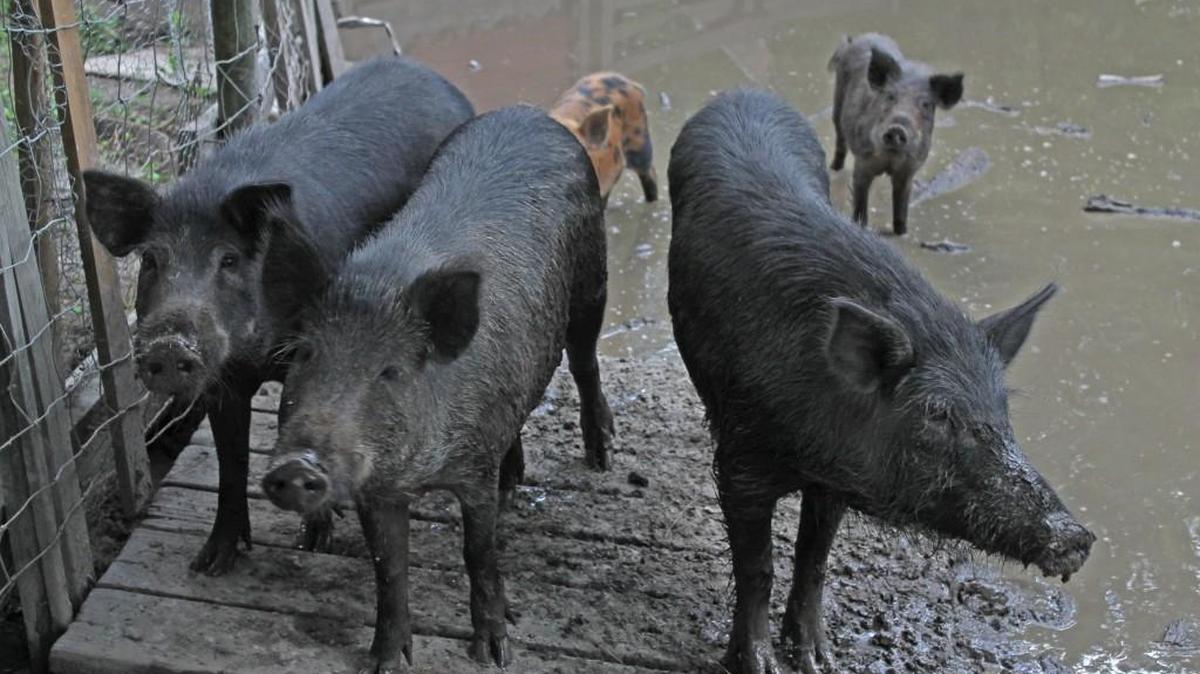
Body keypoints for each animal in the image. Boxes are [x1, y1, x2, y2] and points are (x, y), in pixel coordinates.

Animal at [82, 56, 474, 574]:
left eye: (229, 260)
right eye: (151, 260)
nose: (169, 345)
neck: (257, 354)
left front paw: (314, 540)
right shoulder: (223, 381)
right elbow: (231, 464)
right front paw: (210, 564)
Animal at [260, 105, 615, 672]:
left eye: (389, 371)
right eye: (305, 353)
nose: (298, 467)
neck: (418, 473)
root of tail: (529, 112)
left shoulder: (473, 471)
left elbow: (479, 552)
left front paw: (494, 653)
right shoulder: (376, 488)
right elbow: (389, 569)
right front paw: (384, 663)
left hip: (592, 282)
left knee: (584, 362)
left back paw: (601, 456)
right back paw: (516, 480)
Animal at [667, 89, 1093, 674]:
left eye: (1002, 410)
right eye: (937, 414)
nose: (1077, 536)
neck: (809, 445)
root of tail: (744, 94)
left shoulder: (834, 480)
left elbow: (813, 558)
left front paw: (819, 659)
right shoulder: (742, 461)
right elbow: (759, 567)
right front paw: (758, 664)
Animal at [829, 33, 964, 235]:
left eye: (925, 104)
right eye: (890, 96)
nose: (897, 128)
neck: (889, 160)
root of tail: (858, 38)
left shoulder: (908, 170)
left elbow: (901, 208)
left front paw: (902, 232)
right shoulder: (863, 162)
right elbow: (860, 205)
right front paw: (860, 226)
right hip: (837, 107)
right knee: (840, 143)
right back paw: (834, 168)